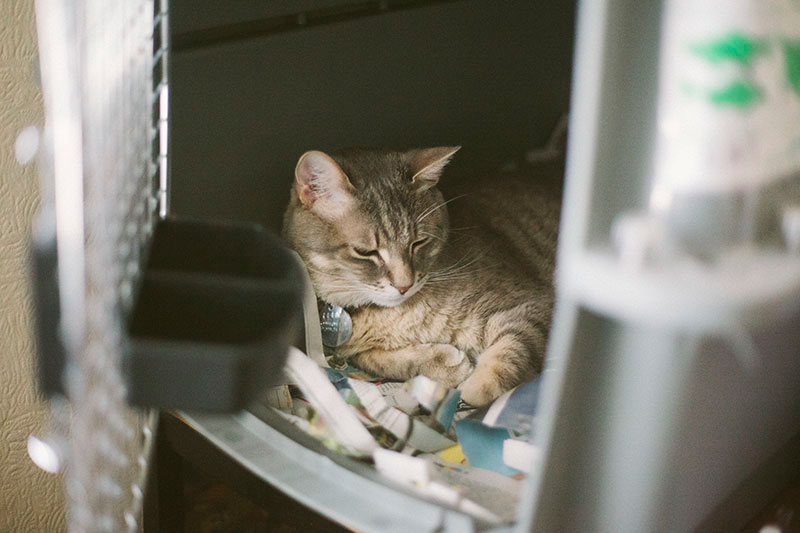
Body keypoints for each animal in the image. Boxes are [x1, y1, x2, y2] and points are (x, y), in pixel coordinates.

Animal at [284, 145, 560, 404]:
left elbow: (511, 350)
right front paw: (445, 363)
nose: (404, 285)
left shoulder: (533, 304)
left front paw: (474, 388)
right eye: (365, 252)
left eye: (419, 242)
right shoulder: (352, 352)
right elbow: (379, 360)